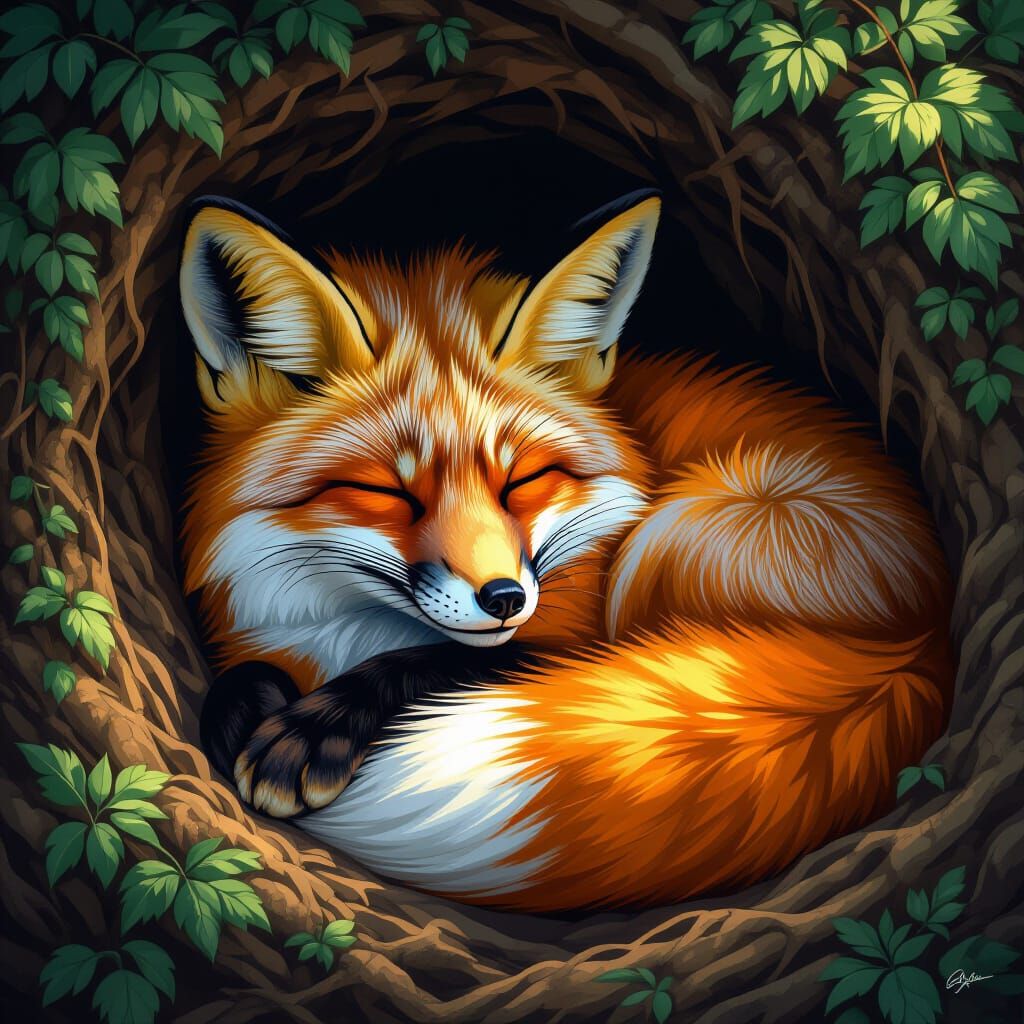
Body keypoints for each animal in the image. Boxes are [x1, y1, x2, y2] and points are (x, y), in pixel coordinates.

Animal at [181, 191, 953, 912]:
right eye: (388, 492)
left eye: (522, 480)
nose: (504, 599)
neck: (345, 634)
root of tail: (920, 641)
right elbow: (236, 684)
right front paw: (253, 708)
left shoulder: (571, 634)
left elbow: (442, 659)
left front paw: (315, 729)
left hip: (682, 532)